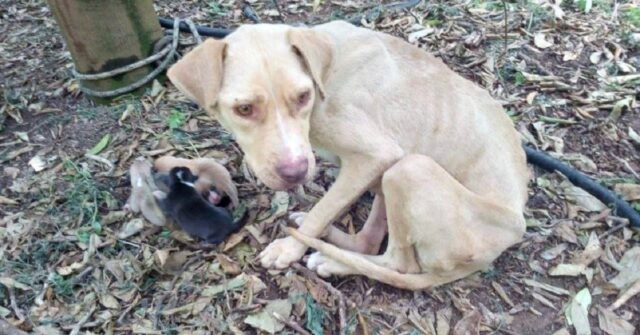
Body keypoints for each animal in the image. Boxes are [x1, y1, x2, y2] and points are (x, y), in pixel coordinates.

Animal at [166, 21, 528, 290]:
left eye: (303, 96)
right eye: (244, 109)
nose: (296, 173)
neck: (323, 73)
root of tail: (511, 236)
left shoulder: (375, 156)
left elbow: (324, 208)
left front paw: (290, 249)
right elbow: (333, 204)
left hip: (410, 167)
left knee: (399, 263)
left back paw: (332, 261)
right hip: (396, 176)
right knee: (370, 240)